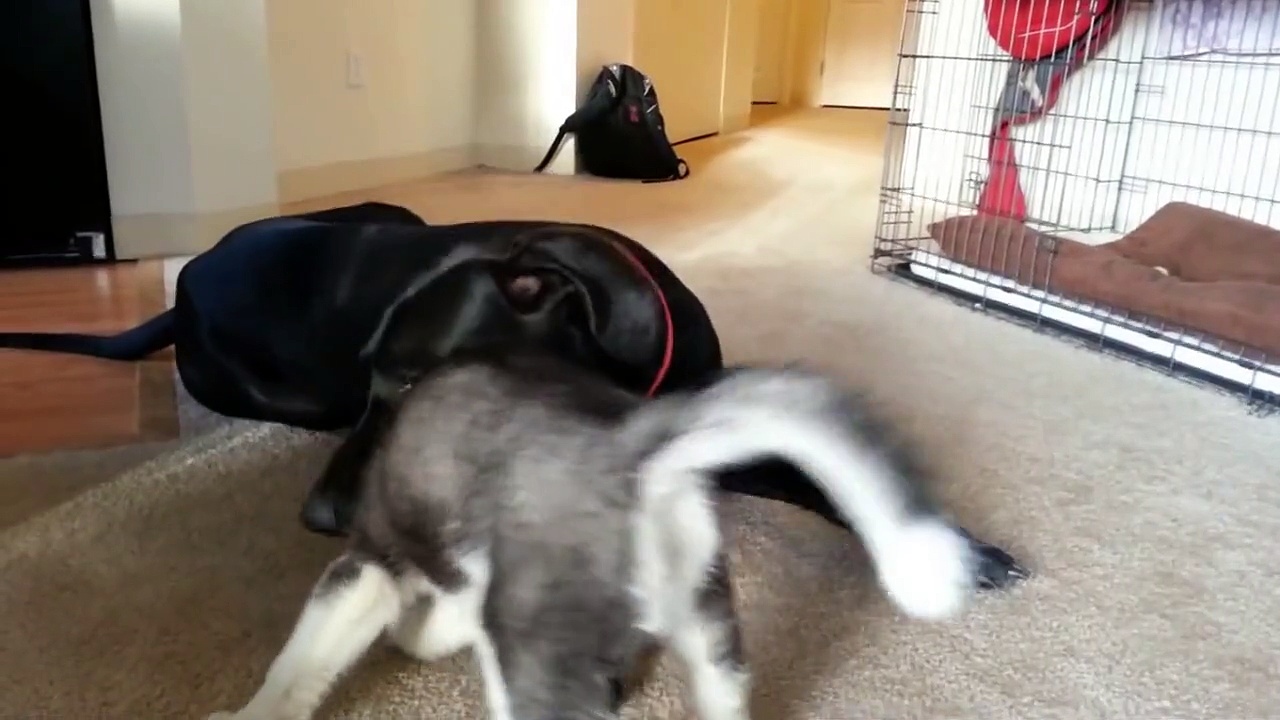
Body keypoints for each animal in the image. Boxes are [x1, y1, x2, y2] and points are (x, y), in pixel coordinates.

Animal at [0, 202, 1024, 589]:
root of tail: (180, 289)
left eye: (421, 378)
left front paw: (961, 552)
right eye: (377, 378)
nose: (321, 519)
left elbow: (820, 475)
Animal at [209, 348, 983, 717]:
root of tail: (628, 442)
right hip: (708, 620)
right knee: (725, 691)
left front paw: (247, 714)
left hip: (536, 647)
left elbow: (303, 657)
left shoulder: (372, 562)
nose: (317, 512)